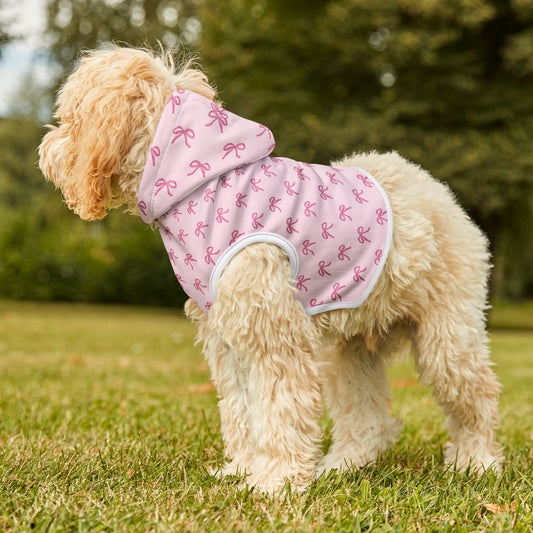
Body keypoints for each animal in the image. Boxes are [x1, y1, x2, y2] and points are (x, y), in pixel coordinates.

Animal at [38, 47, 502, 492]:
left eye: (69, 118)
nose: (45, 150)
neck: (200, 184)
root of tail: (437, 190)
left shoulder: (274, 334)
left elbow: (280, 410)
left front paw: (275, 482)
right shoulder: (228, 337)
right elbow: (242, 410)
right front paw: (243, 470)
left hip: (447, 337)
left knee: (477, 397)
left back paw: (477, 462)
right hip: (351, 350)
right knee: (368, 418)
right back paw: (343, 465)